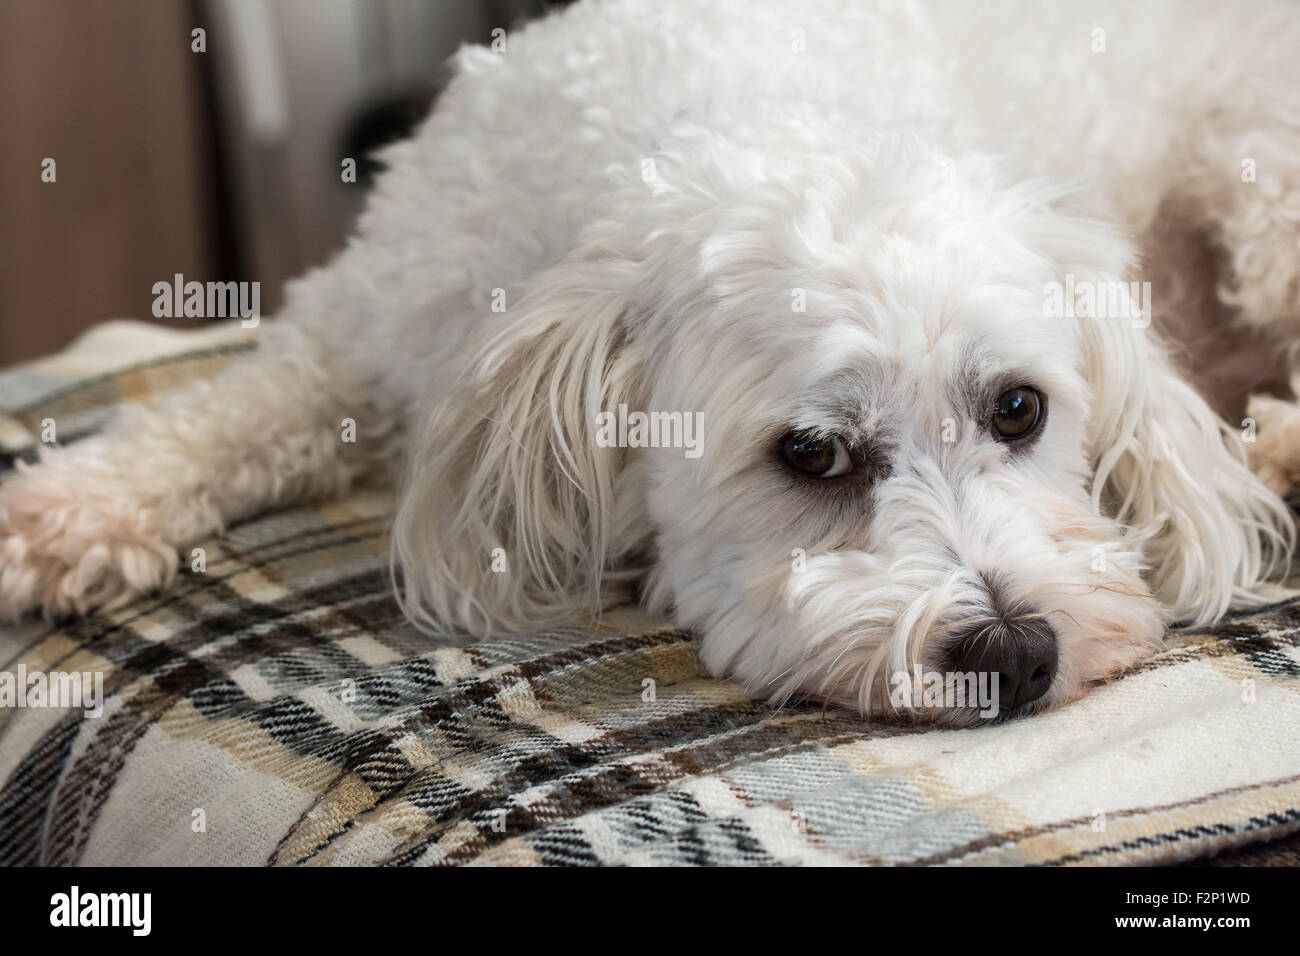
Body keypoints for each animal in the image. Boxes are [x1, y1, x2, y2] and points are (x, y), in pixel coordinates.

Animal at [2, 0, 1300, 723]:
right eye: (810, 453)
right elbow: (226, 410)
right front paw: (63, 512)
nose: (1015, 649)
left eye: (1019, 408)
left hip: (1260, 182)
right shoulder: (364, 316)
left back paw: (1274, 445)